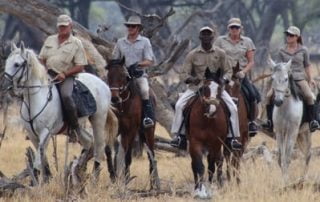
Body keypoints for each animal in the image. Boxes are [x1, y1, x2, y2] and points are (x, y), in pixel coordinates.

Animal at [2, 42, 118, 183]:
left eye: (17, 64)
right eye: (7, 62)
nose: (5, 86)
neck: (37, 98)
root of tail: (103, 84)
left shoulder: (45, 132)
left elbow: (39, 159)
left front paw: (36, 181)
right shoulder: (32, 134)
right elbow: (42, 158)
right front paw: (46, 178)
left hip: (98, 120)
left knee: (99, 148)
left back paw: (94, 178)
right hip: (79, 127)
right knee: (88, 142)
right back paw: (79, 170)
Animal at [105, 58, 160, 189]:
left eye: (124, 76)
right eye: (109, 75)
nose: (114, 99)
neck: (123, 105)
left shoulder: (131, 130)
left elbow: (127, 156)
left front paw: (125, 180)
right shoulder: (115, 129)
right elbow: (109, 150)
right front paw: (113, 175)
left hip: (148, 132)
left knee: (151, 155)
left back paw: (153, 183)